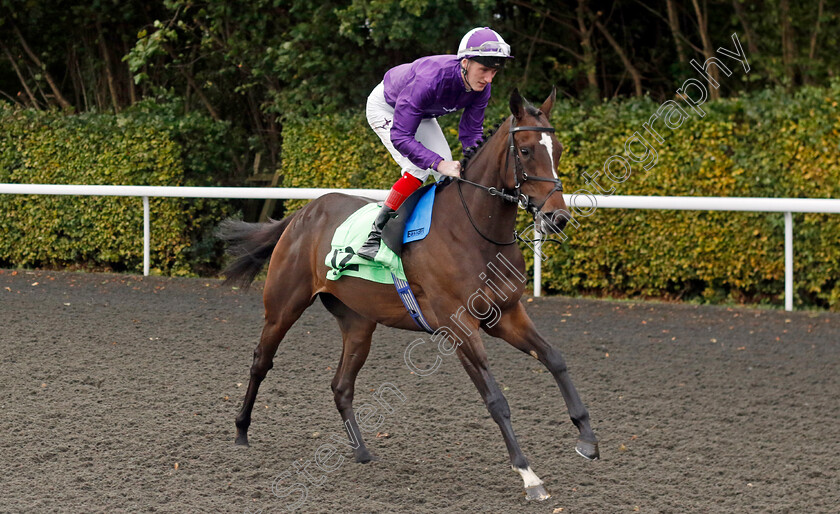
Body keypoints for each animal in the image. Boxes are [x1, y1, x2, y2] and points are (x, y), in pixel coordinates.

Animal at [217, 88, 596, 500]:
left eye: (558, 149)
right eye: (525, 150)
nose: (557, 218)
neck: (473, 230)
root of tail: (304, 212)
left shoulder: (507, 314)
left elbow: (555, 359)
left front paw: (587, 438)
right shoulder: (458, 326)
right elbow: (496, 398)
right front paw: (528, 475)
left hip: (358, 323)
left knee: (341, 385)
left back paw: (362, 451)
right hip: (283, 305)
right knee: (261, 362)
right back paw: (240, 431)